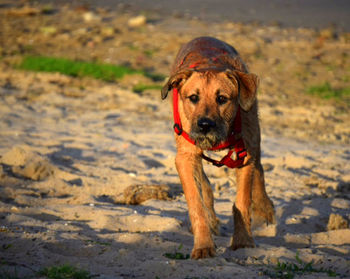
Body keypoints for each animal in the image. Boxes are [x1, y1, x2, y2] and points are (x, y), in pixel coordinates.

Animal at [162, 37, 276, 260]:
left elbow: (241, 202)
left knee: (259, 170)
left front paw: (243, 241)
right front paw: (203, 244)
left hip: (255, 136)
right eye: (193, 98)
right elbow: (196, 204)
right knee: (205, 185)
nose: (205, 125)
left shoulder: (245, 156)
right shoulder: (185, 158)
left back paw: (264, 206)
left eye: (222, 98)